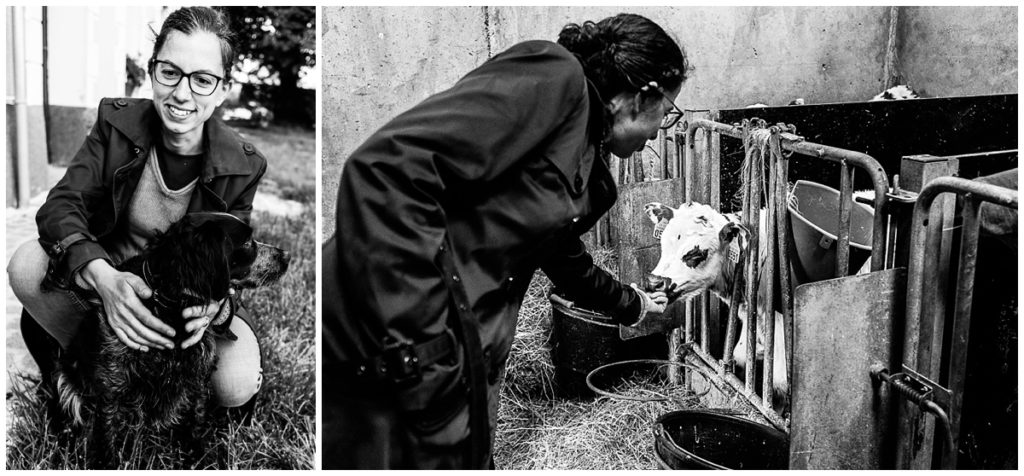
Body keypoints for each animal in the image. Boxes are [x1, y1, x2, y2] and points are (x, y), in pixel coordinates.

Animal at [54, 212, 290, 466]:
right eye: (247, 242)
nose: (287, 255)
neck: (170, 304)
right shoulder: (111, 385)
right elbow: (106, 437)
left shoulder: (197, 374)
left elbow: (195, 422)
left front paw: (200, 459)